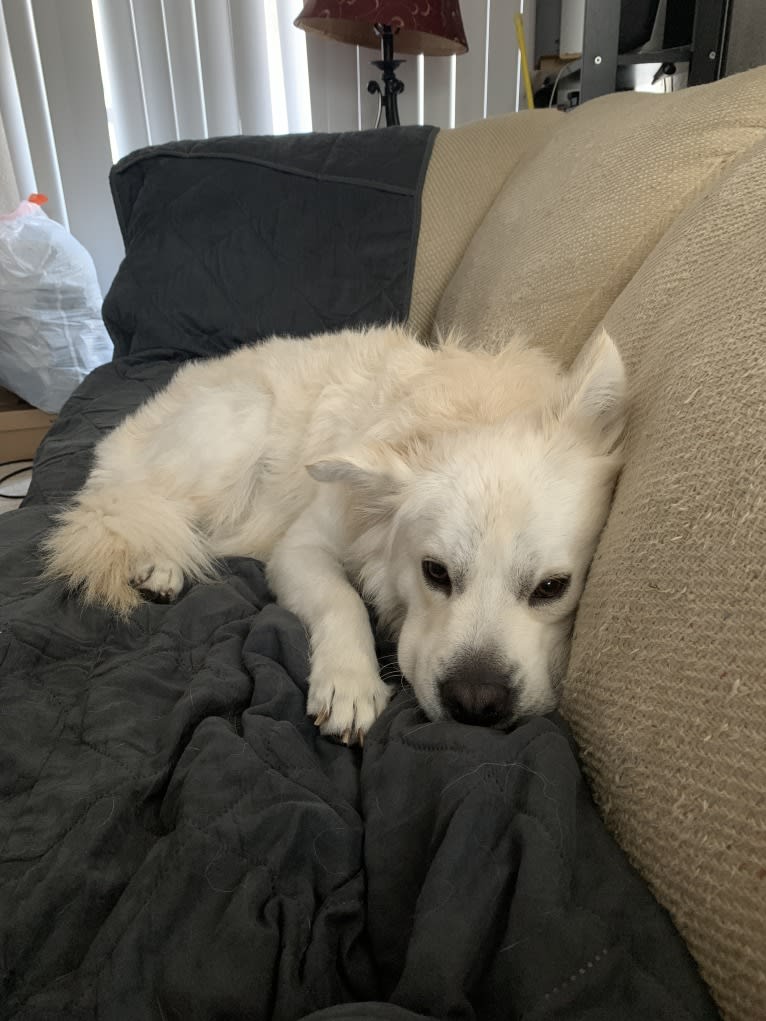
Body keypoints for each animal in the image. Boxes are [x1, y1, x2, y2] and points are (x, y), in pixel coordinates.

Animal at [44, 324, 625, 743]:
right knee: (148, 505)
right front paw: (350, 682)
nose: (475, 704)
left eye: (552, 588)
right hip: (236, 434)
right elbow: (341, 599)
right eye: (434, 573)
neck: (465, 411)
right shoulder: (301, 547)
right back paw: (159, 560)